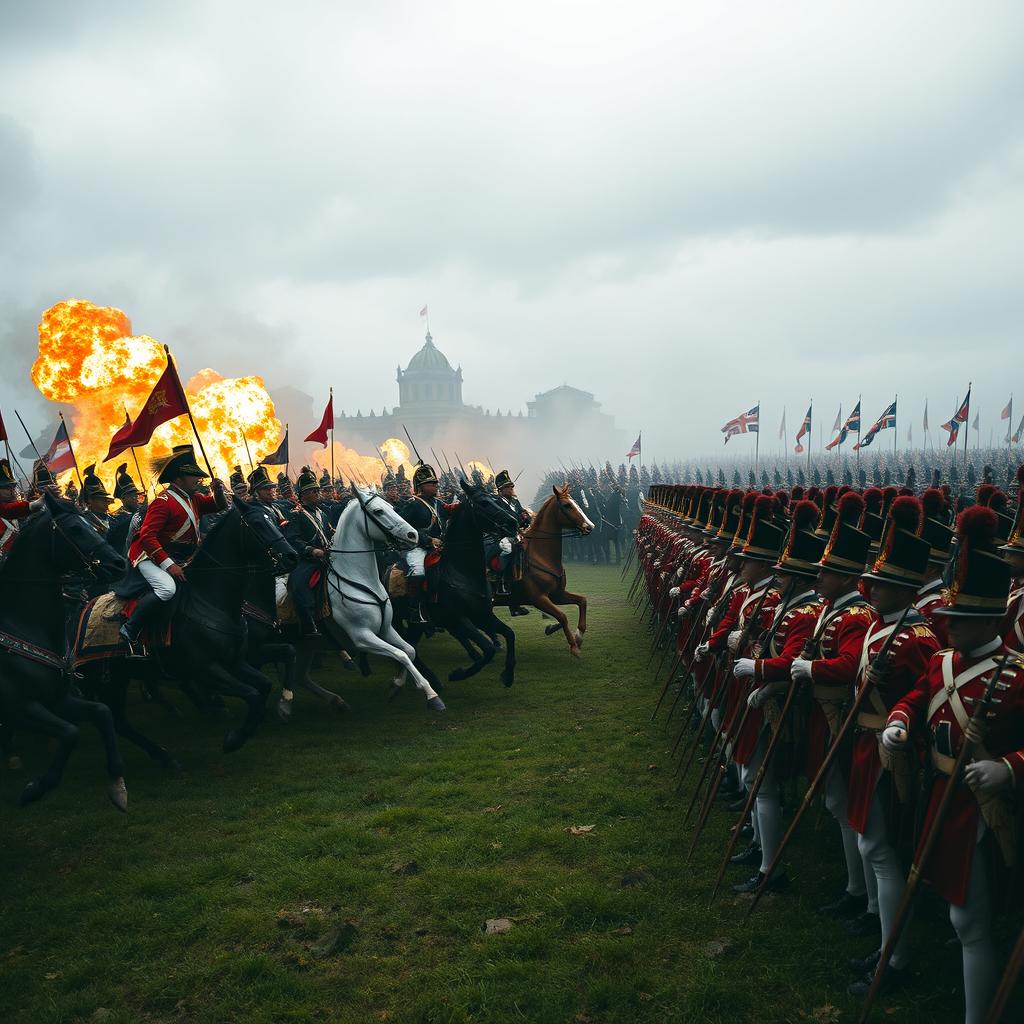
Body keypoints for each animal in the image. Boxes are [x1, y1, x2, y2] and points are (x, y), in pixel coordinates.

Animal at [0, 491, 132, 811]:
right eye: (74, 528)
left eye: (90, 524)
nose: (119, 563)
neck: (21, 623)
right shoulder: (19, 705)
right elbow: (71, 733)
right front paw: (34, 789)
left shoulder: (56, 699)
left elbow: (103, 713)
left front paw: (117, 784)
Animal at [75, 495, 299, 770]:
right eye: (257, 524)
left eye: (276, 521)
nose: (292, 556)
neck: (212, 601)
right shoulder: (207, 669)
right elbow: (253, 693)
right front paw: (234, 738)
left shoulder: (236, 661)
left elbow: (268, 680)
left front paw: (279, 706)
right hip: (107, 679)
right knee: (116, 716)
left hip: (119, 677)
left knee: (120, 718)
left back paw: (166, 752)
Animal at [323, 485, 444, 712]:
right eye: (378, 511)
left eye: (392, 507)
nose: (412, 535)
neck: (357, 579)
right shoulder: (361, 636)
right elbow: (401, 654)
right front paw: (431, 694)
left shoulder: (386, 628)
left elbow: (408, 650)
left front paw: (397, 683)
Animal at [501, 485, 593, 655]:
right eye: (567, 505)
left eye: (576, 503)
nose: (589, 526)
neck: (541, 556)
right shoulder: (539, 598)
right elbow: (562, 616)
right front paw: (573, 645)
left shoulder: (557, 595)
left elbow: (582, 601)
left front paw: (578, 636)